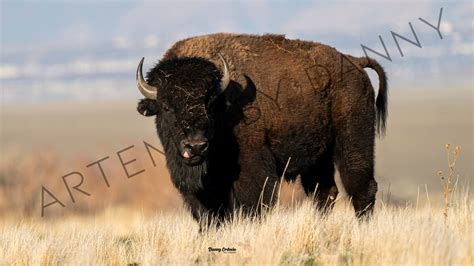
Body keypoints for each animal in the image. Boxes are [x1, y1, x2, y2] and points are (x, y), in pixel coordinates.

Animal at [135, 32, 386, 225]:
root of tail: (354, 61)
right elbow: (208, 215)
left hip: (353, 141)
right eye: (166, 106)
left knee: (360, 187)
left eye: (210, 104)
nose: (196, 146)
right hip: (318, 157)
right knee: (324, 192)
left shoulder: (252, 169)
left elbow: (252, 204)